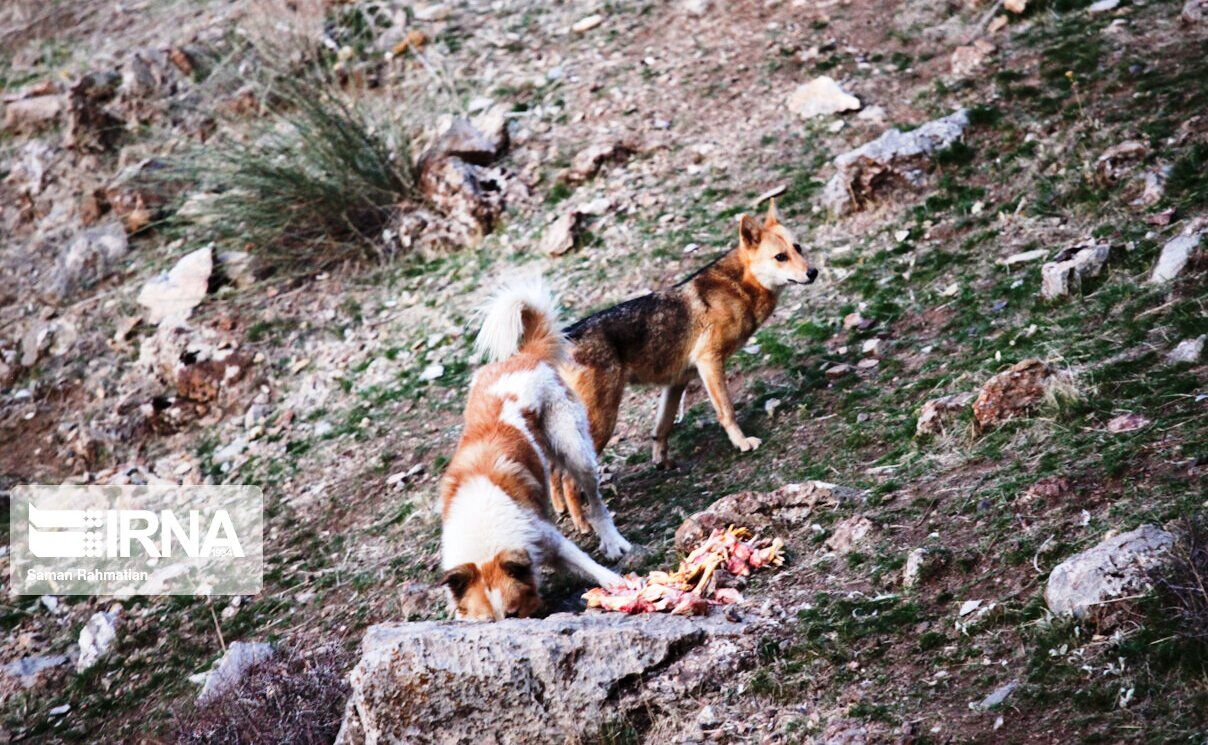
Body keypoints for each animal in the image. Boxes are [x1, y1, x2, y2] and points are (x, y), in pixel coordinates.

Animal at [442, 276, 632, 618]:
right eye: (487, 621)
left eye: (513, 614)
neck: (484, 531)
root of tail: (525, 356)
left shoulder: (545, 538)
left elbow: (590, 565)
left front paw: (617, 583)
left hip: (575, 448)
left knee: (595, 500)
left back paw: (612, 541)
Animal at [550, 200, 816, 531]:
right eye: (780, 257)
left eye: (798, 248)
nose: (813, 272)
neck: (739, 286)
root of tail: (563, 340)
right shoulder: (710, 362)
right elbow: (726, 411)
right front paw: (742, 443)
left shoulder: (677, 381)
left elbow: (661, 430)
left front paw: (662, 463)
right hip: (602, 423)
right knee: (566, 477)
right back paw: (584, 524)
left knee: (553, 472)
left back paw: (561, 511)